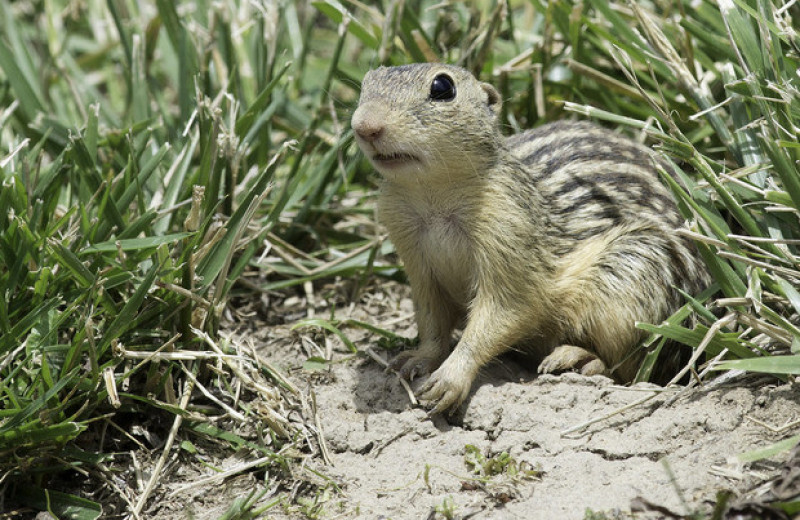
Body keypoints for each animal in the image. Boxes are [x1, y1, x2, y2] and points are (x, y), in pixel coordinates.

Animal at [350, 64, 708, 414]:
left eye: (442, 87)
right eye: (367, 81)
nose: (365, 126)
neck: (432, 199)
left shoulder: (510, 234)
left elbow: (505, 310)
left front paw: (449, 379)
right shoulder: (415, 258)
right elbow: (431, 322)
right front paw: (414, 360)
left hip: (630, 279)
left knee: (630, 369)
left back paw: (578, 358)